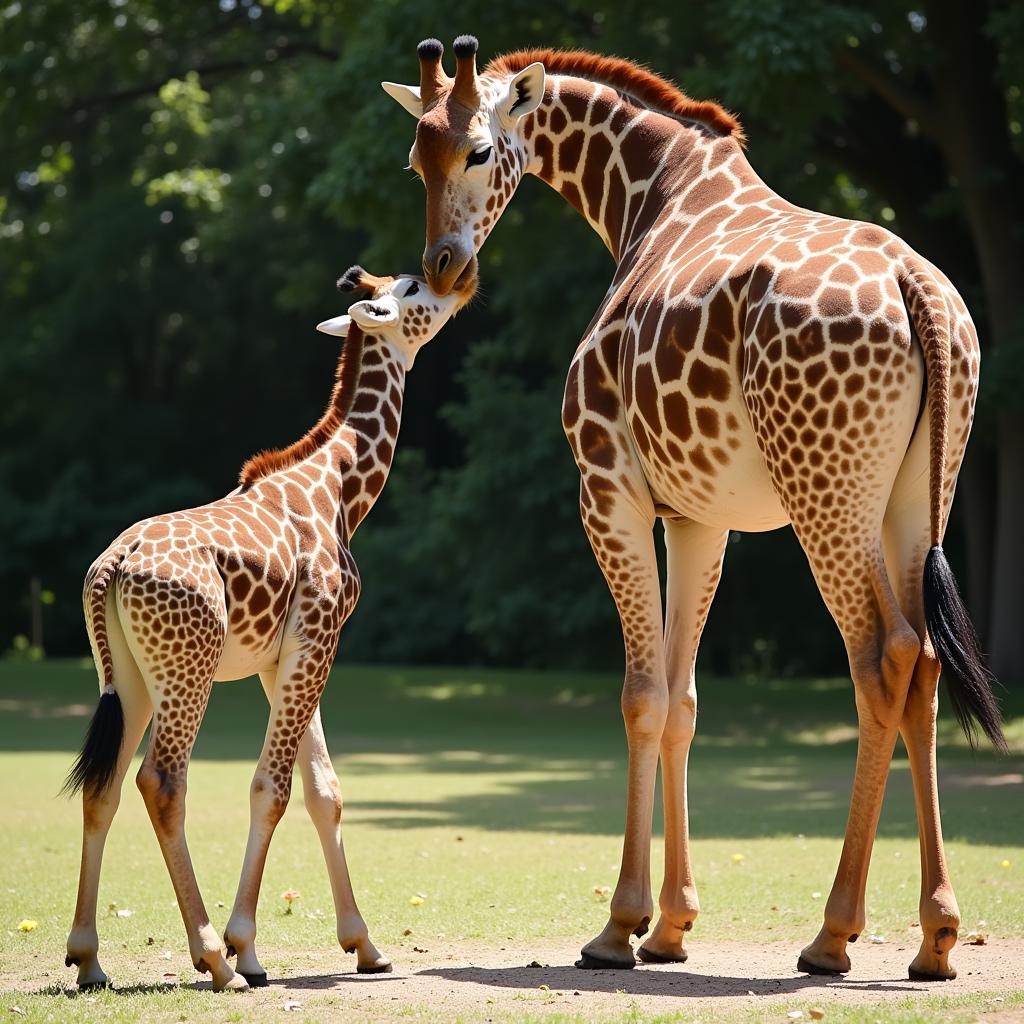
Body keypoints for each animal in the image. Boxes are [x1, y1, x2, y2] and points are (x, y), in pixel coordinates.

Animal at [62, 258, 475, 991]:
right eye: (411, 291)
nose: (455, 279)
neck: (340, 488)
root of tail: (112, 566)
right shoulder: (319, 638)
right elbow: (272, 788)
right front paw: (245, 950)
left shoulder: (281, 659)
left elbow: (324, 791)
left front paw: (366, 946)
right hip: (187, 669)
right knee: (161, 780)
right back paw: (208, 958)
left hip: (129, 674)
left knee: (104, 784)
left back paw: (89, 959)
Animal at [382, 36, 999, 978]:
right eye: (417, 159)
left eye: (481, 150)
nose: (445, 265)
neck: (650, 195)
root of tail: (914, 285)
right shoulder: (701, 516)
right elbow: (683, 701)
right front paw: (671, 925)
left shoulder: (609, 489)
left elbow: (641, 696)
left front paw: (618, 926)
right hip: (916, 492)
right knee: (926, 658)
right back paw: (935, 936)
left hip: (826, 490)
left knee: (882, 656)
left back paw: (833, 934)